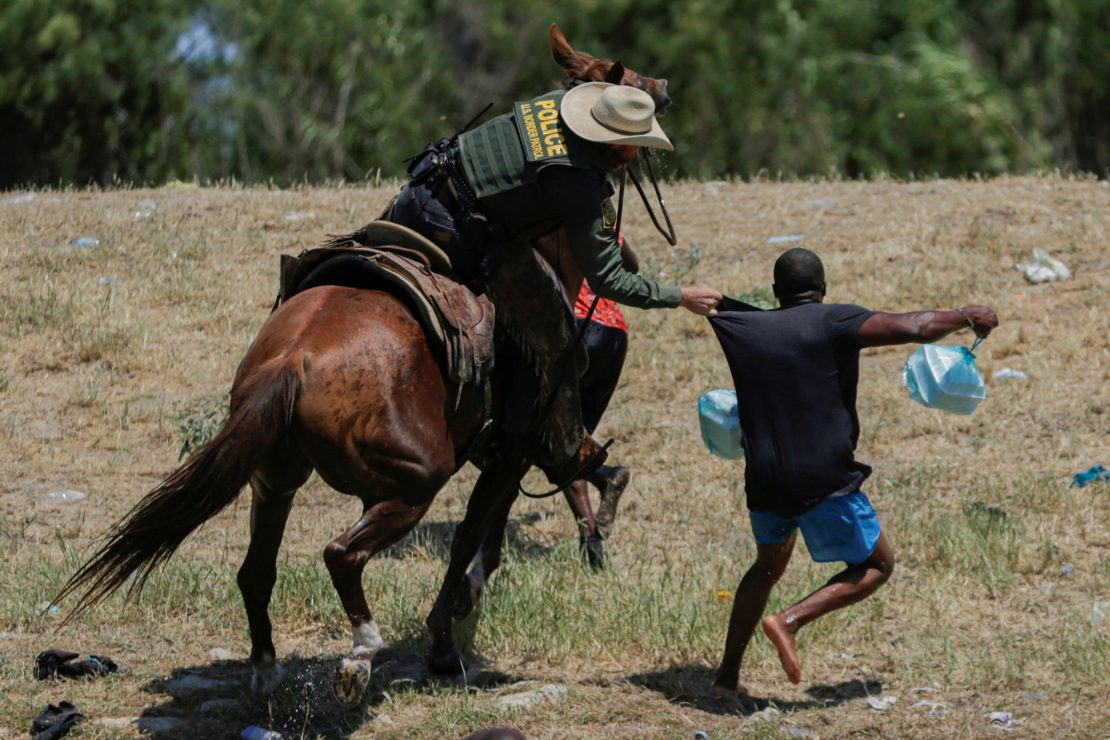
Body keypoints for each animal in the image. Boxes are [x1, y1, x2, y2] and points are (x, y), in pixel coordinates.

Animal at [52, 27, 670, 701]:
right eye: (637, 87)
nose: (663, 90)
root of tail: (290, 363)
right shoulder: (510, 451)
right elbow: (470, 541)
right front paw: (445, 642)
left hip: (277, 476)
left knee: (256, 572)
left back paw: (267, 670)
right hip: (414, 482)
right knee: (340, 554)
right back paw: (360, 654)